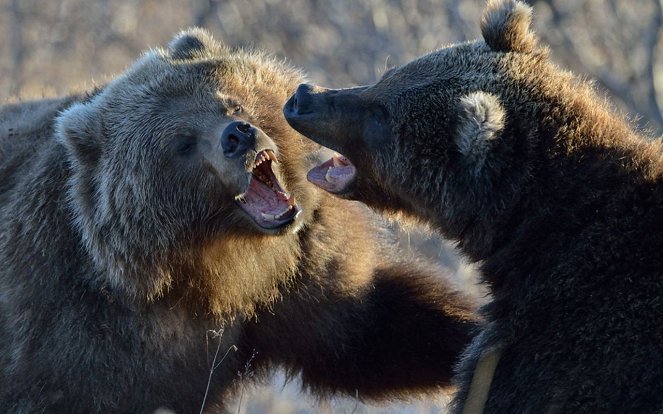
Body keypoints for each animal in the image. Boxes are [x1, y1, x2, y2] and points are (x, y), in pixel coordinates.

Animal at [0, 27, 480, 412]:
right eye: (182, 143)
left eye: (231, 102)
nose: (238, 136)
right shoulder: (82, 330)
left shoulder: (301, 276)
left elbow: (370, 333)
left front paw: (469, 331)